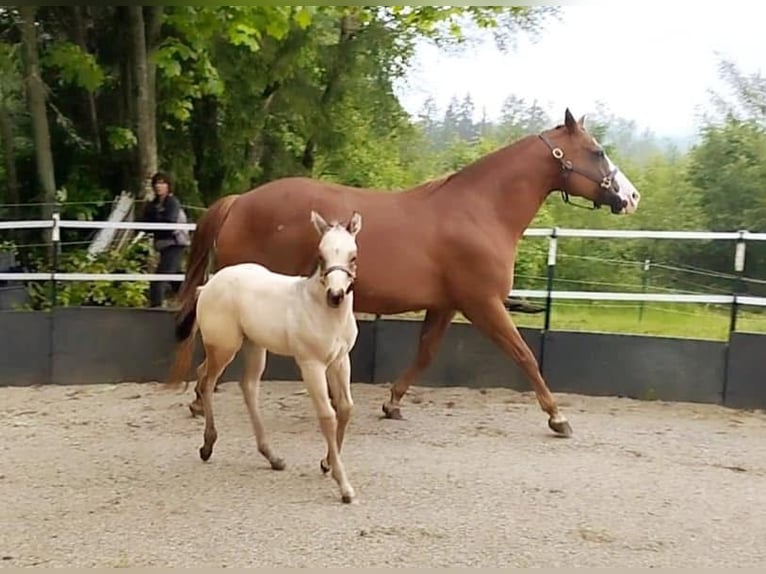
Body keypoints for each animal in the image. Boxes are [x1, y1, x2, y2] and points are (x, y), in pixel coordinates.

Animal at [168, 210, 363, 504]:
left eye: (353, 256)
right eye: (321, 256)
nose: (336, 296)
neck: (322, 311)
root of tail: (209, 285)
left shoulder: (340, 361)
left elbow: (346, 408)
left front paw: (327, 463)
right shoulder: (311, 365)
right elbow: (327, 415)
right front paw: (344, 486)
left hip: (254, 347)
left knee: (246, 386)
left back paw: (271, 456)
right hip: (225, 347)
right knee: (206, 381)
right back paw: (208, 444)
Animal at [173, 109, 642, 438]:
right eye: (597, 152)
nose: (632, 196)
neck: (479, 211)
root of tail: (239, 201)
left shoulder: (447, 305)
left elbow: (425, 354)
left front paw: (393, 403)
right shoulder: (483, 304)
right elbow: (524, 355)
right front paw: (557, 417)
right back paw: (199, 397)